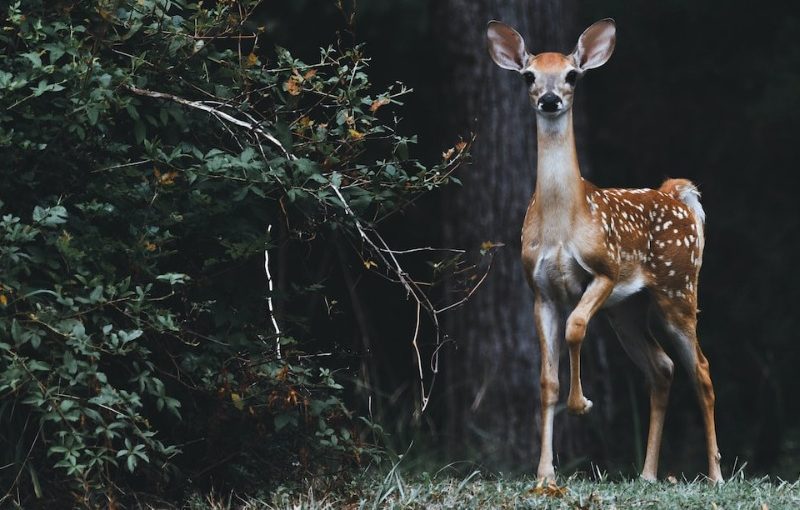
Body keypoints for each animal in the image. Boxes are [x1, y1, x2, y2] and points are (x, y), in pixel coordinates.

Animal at [488, 18, 724, 482]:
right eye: (528, 76)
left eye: (572, 75)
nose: (549, 99)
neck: (563, 223)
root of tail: (677, 194)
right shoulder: (539, 290)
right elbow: (546, 381)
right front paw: (544, 474)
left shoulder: (605, 270)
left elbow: (576, 327)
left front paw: (582, 404)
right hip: (628, 309)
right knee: (662, 368)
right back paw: (647, 474)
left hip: (678, 288)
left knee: (702, 370)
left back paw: (716, 475)